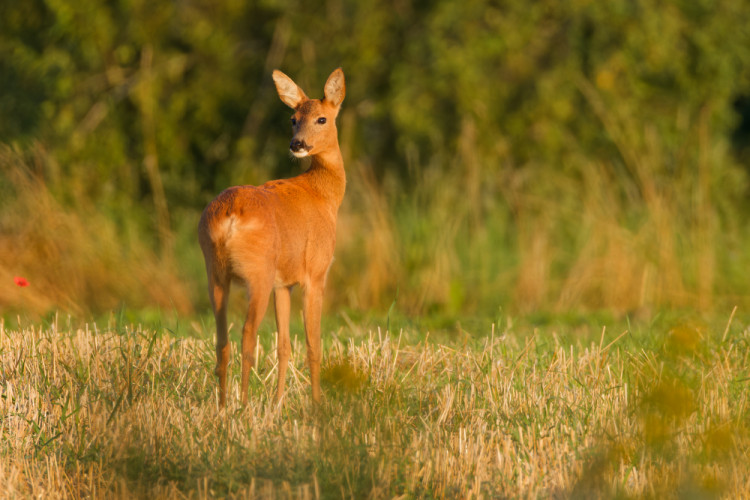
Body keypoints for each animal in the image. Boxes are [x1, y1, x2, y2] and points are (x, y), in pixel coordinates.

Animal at [198, 68, 348, 408]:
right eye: (293, 118)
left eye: (321, 118)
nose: (297, 144)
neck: (324, 195)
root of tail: (229, 216)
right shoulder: (315, 273)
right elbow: (313, 345)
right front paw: (317, 405)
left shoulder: (284, 282)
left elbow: (284, 346)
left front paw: (278, 404)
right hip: (258, 272)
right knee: (247, 336)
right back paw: (242, 406)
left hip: (215, 271)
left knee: (222, 340)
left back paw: (224, 406)